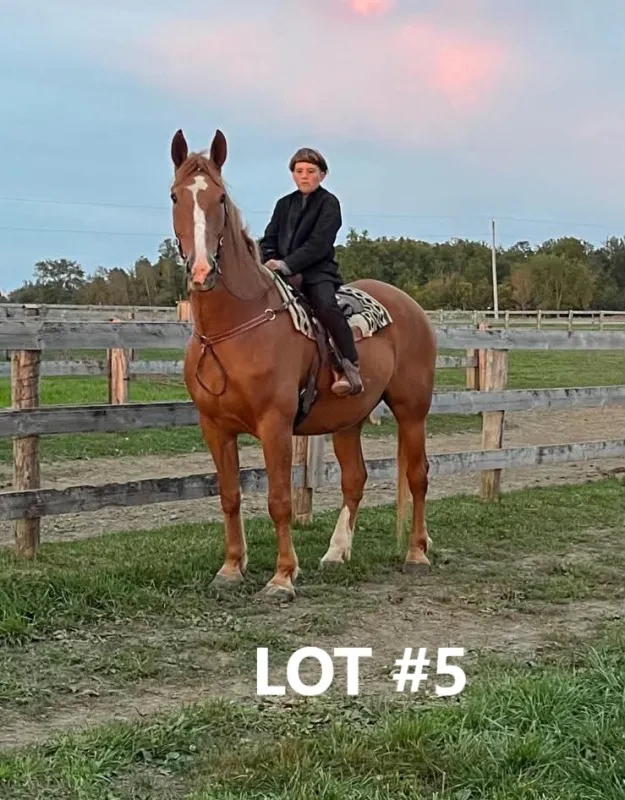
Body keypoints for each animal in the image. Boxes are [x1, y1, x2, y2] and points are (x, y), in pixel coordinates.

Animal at [170, 128, 438, 601]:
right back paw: (336, 552)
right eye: (174, 196)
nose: (201, 271)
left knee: (418, 475)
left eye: (219, 198)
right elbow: (229, 496)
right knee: (355, 479)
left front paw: (282, 577)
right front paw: (231, 568)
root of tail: (408, 306)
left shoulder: (274, 424)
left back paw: (416, 554)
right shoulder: (214, 426)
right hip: (348, 419)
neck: (235, 327)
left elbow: (279, 500)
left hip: (412, 410)